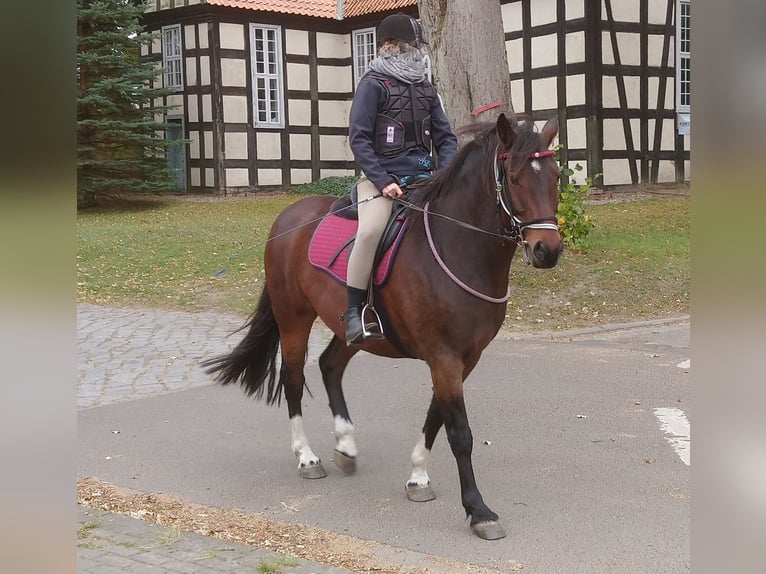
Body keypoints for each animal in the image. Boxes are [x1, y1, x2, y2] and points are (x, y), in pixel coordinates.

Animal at [204, 112, 564, 540]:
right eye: (513, 178)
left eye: (556, 177)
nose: (547, 250)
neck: (458, 248)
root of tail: (288, 219)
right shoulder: (444, 357)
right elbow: (460, 433)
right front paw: (479, 510)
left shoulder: (465, 358)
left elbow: (435, 418)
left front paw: (418, 478)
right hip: (293, 319)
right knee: (293, 380)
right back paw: (307, 458)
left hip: (350, 332)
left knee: (329, 366)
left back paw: (345, 445)